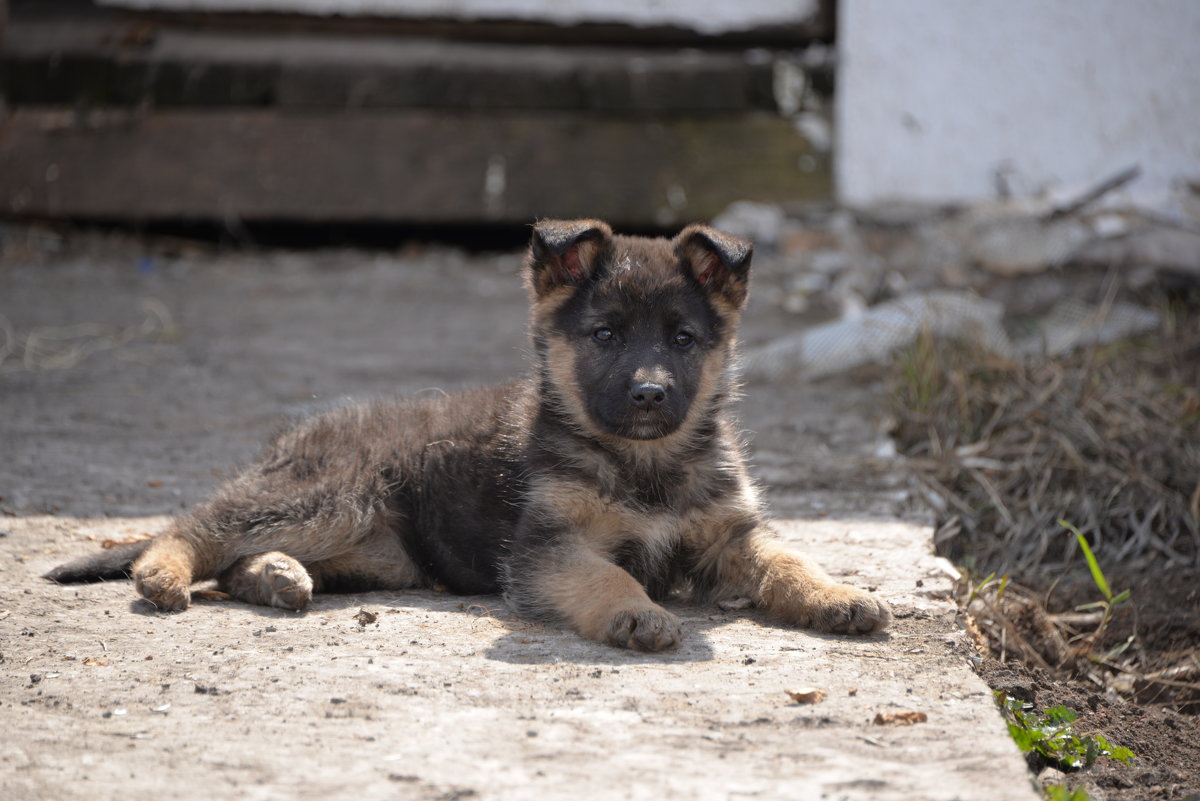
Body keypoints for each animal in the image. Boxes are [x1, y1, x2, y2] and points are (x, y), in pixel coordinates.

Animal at [44, 219, 892, 652]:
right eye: (606, 335)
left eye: (683, 339)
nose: (651, 393)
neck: (644, 460)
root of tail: (297, 437)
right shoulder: (547, 547)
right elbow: (605, 577)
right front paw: (639, 612)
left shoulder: (727, 534)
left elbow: (790, 559)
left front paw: (837, 595)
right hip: (331, 497)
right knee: (195, 528)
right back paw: (165, 574)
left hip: (379, 553)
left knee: (238, 555)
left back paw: (277, 575)